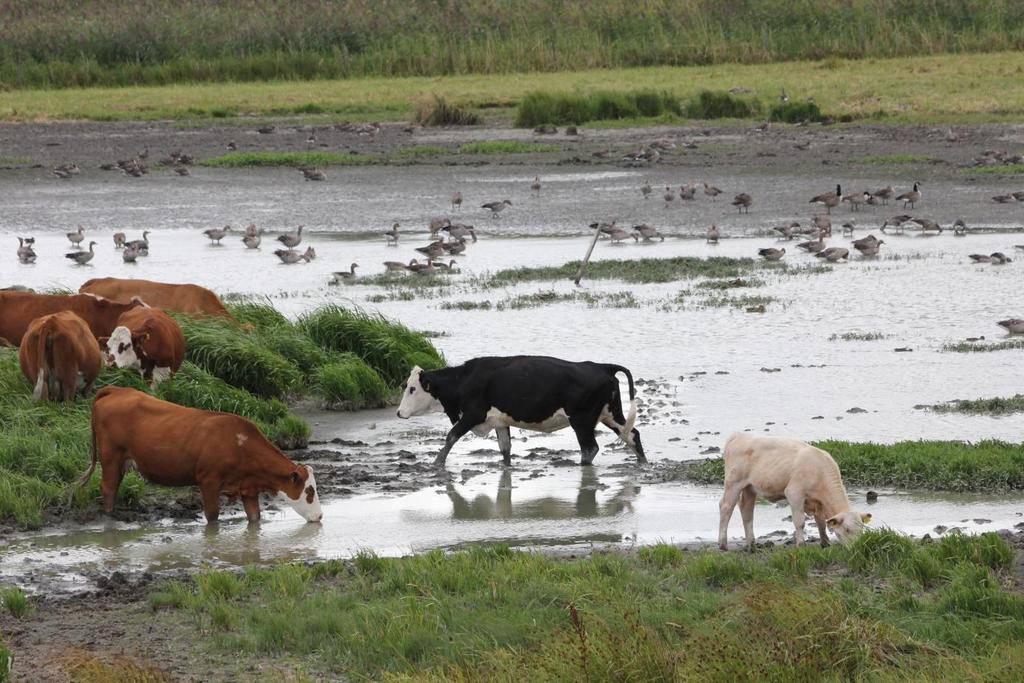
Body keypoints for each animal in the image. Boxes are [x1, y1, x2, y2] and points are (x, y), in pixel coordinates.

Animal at [81, 389, 321, 524]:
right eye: (309, 491)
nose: (319, 517)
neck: (239, 444)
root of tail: (117, 390)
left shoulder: (248, 488)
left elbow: (255, 517)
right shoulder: (209, 481)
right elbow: (212, 516)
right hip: (111, 457)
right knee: (108, 488)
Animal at [395, 356, 643, 466]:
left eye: (412, 389)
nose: (398, 413)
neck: (464, 380)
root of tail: (601, 366)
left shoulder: (473, 415)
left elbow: (450, 437)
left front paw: (437, 464)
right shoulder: (499, 421)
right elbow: (505, 448)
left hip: (582, 420)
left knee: (590, 448)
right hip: (610, 414)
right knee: (631, 434)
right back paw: (643, 464)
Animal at [720, 436, 872, 552]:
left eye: (862, 529)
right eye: (847, 529)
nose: (857, 548)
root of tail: (738, 436)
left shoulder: (818, 502)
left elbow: (821, 523)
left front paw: (825, 543)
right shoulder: (794, 493)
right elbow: (800, 522)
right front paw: (801, 544)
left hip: (750, 487)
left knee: (746, 510)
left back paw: (751, 545)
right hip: (733, 483)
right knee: (726, 507)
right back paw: (723, 544)